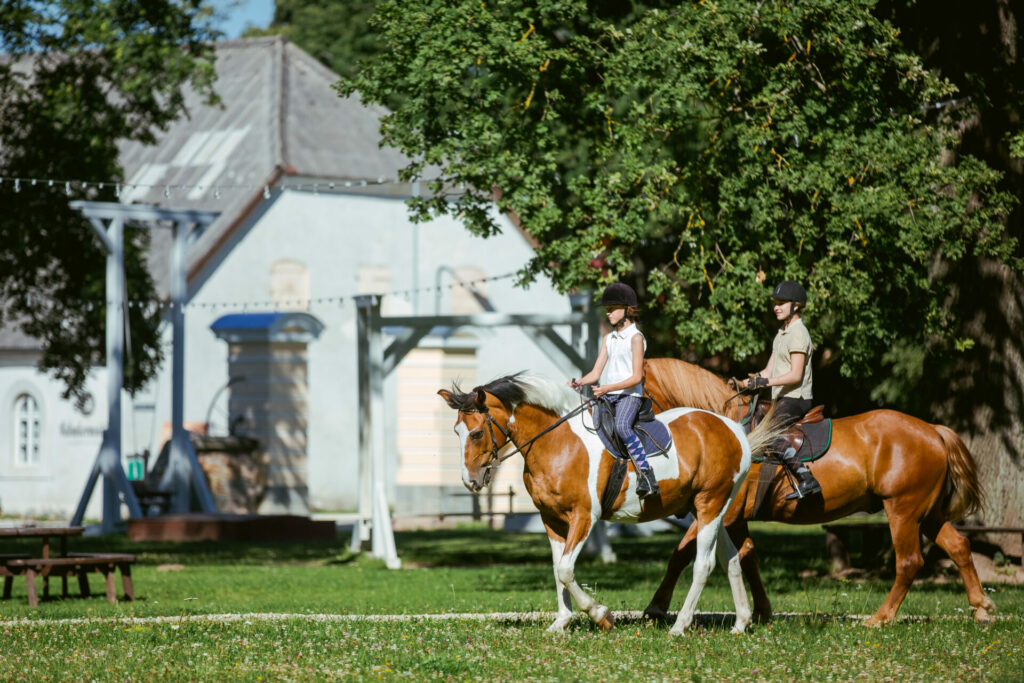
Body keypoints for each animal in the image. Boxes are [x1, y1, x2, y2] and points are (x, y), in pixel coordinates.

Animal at [438, 374, 782, 634]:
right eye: (455, 431)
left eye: (476, 433)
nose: (470, 481)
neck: (557, 443)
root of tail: (733, 430)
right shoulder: (551, 520)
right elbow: (556, 569)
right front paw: (561, 622)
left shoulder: (583, 517)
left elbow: (566, 569)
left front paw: (601, 615)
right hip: (711, 510)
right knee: (731, 559)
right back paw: (741, 623)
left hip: (710, 504)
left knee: (704, 564)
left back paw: (680, 626)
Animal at [643, 360, 995, 626]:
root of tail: (933, 430)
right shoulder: (734, 518)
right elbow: (746, 556)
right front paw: (761, 611)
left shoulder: (720, 513)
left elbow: (684, 554)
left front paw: (656, 607)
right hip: (927, 513)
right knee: (959, 547)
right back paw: (981, 608)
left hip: (903, 511)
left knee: (909, 562)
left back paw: (880, 618)